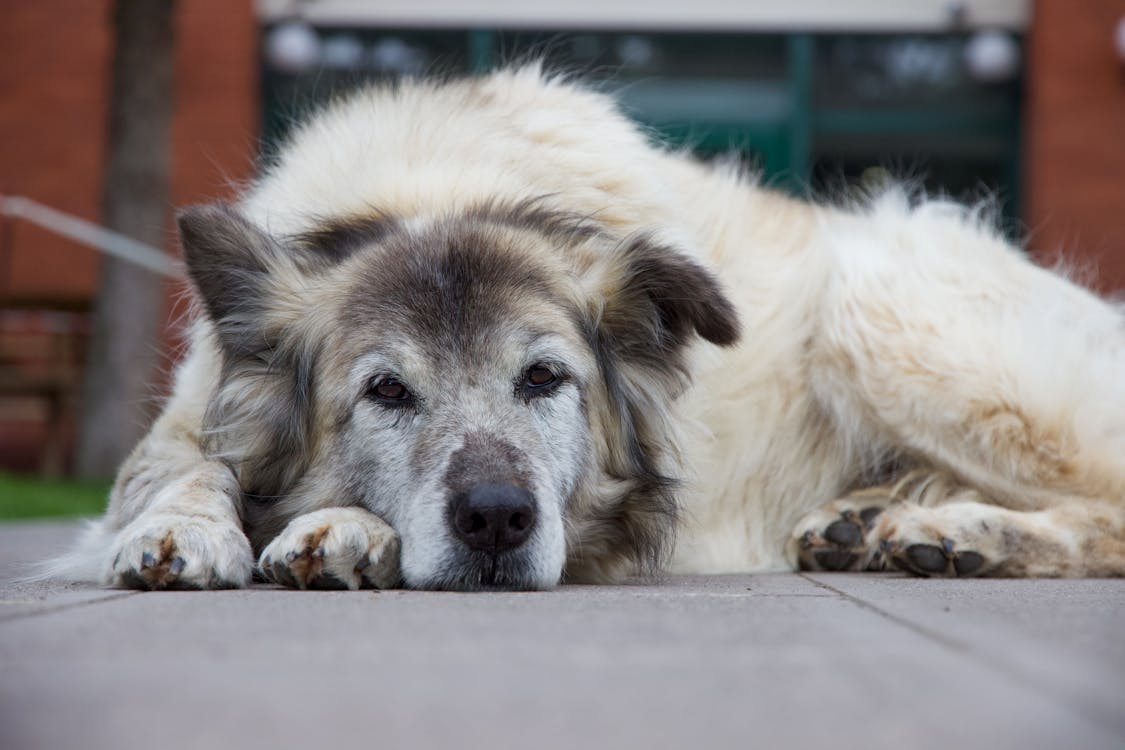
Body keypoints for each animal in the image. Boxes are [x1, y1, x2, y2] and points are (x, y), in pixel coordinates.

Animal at [52, 66, 1125, 593]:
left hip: (873, 303)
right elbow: (188, 471)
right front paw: (184, 532)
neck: (438, 191)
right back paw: (868, 524)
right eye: (386, 391)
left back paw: (957, 533)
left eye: (544, 379)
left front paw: (343, 528)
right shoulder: (185, 422)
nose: (496, 519)